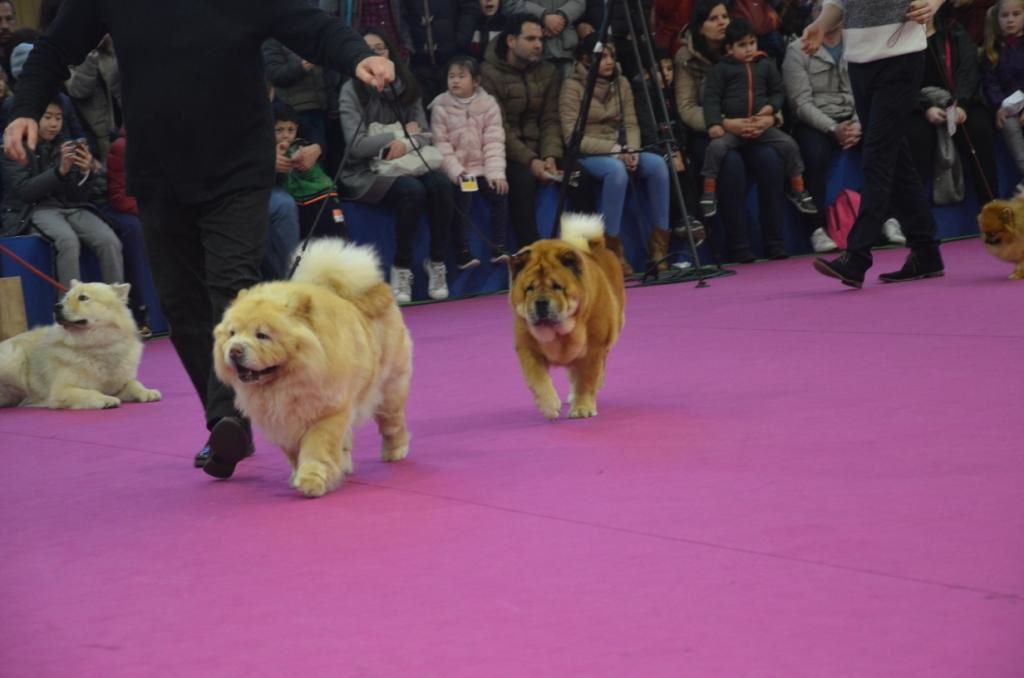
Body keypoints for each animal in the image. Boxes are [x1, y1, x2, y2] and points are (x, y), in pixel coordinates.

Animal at [0, 280, 160, 409]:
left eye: (83, 298)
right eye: (66, 298)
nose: (56, 306)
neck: (98, 347)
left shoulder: (119, 385)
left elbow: (134, 384)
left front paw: (147, 392)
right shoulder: (62, 390)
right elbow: (90, 392)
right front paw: (106, 399)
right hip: (14, 359)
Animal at [214, 240, 413, 499]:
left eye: (262, 335)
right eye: (232, 333)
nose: (235, 350)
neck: (285, 384)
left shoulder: (327, 412)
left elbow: (316, 449)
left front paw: (311, 482)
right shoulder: (282, 422)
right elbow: (295, 454)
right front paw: (300, 475)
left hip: (389, 388)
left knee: (392, 423)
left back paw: (395, 452)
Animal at [509, 213, 626, 419]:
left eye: (557, 286)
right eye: (529, 288)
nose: (541, 302)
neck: (558, 333)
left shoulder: (593, 348)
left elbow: (587, 379)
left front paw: (582, 409)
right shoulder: (527, 349)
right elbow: (538, 381)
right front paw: (549, 406)